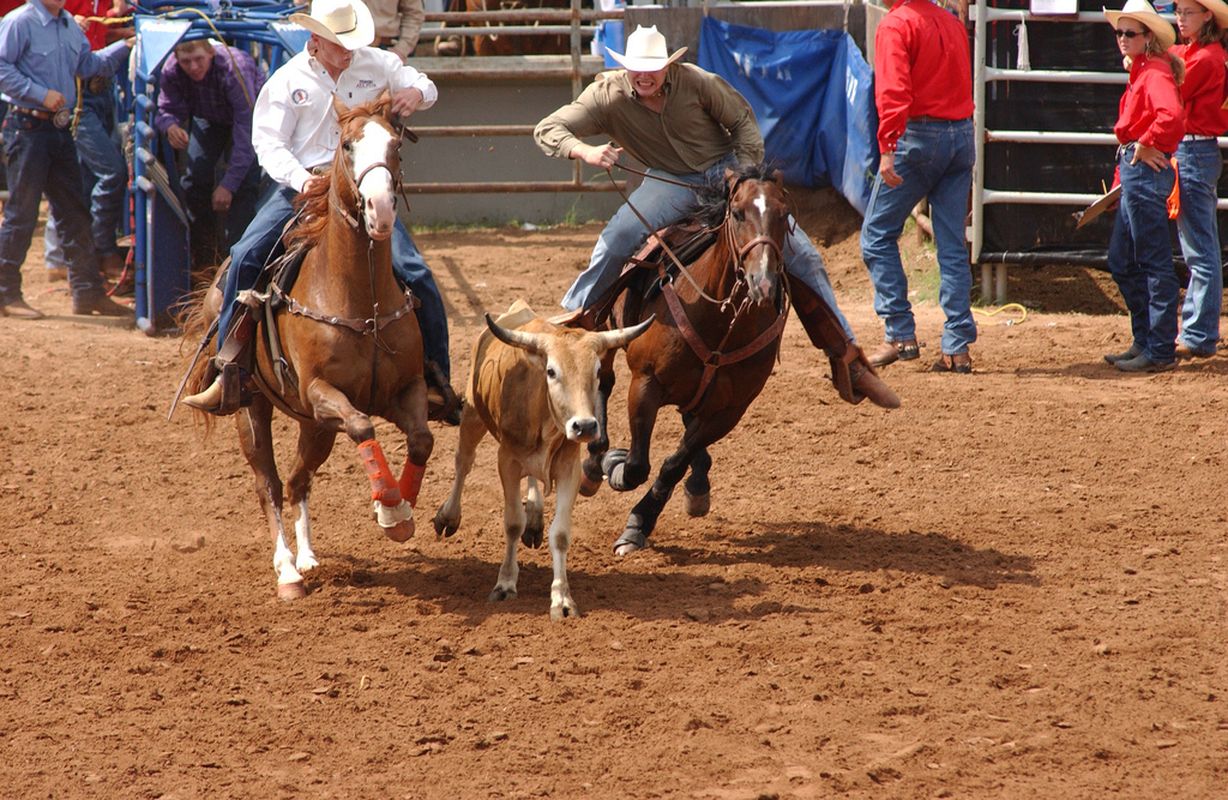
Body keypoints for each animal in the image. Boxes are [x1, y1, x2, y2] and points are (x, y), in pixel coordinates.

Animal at [179, 95, 432, 599]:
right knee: (270, 485)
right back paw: (288, 570)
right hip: (251, 409)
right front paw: (390, 508)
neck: (361, 297)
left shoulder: (403, 390)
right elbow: (362, 426)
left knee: (299, 481)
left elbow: (421, 439)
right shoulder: (323, 393)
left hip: (314, 426)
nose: (380, 208)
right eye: (348, 145)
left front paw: (397, 511)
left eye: (395, 145)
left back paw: (309, 556)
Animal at [582, 167, 785, 557]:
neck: (720, 323)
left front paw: (639, 522)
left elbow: (674, 463)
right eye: (738, 213)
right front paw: (614, 465)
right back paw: (595, 458)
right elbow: (636, 465)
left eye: (784, 215)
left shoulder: (729, 411)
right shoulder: (645, 383)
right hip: (606, 329)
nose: (764, 284)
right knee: (602, 380)